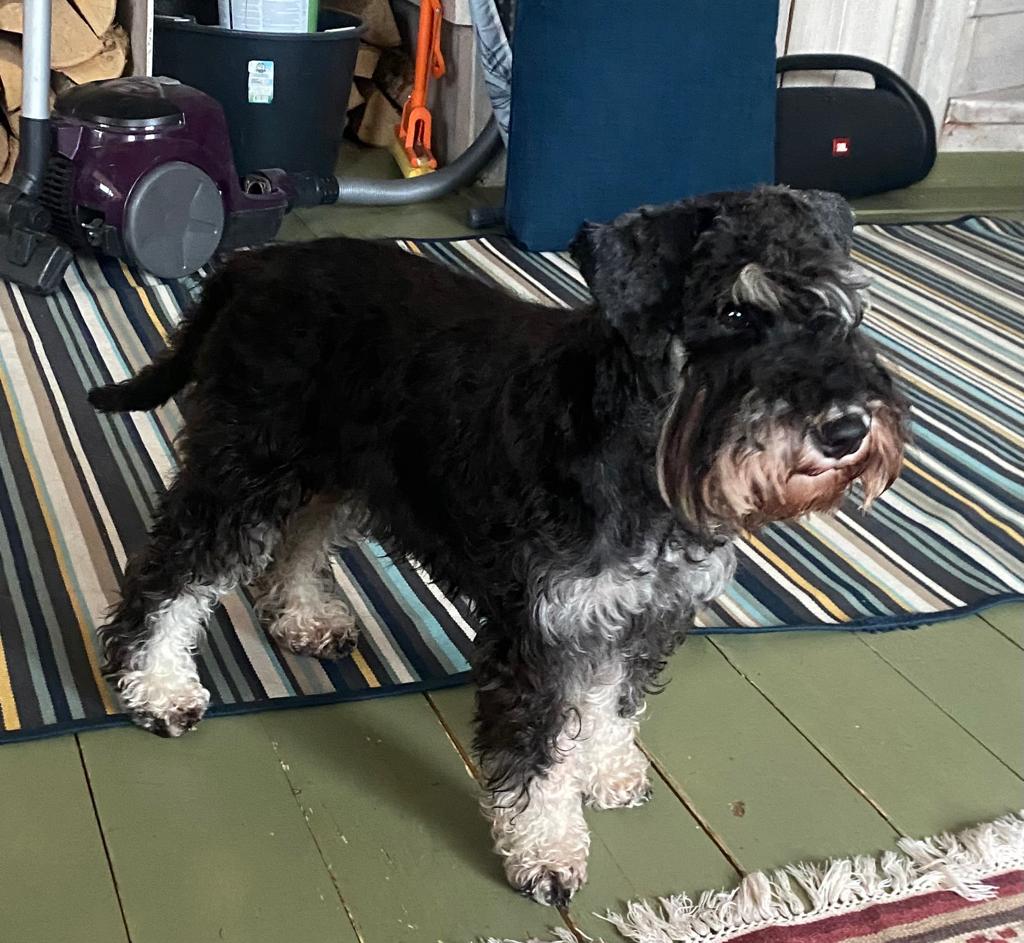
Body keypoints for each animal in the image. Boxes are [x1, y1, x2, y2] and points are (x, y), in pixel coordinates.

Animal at [89, 185, 908, 906]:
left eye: (839, 309)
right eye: (733, 310)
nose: (847, 429)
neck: (642, 449)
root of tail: (253, 265)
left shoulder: (642, 615)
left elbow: (613, 701)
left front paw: (606, 771)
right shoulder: (537, 632)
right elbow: (538, 756)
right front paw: (547, 852)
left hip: (335, 471)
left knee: (298, 540)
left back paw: (303, 616)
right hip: (243, 471)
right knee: (169, 574)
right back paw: (156, 687)